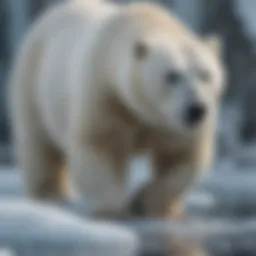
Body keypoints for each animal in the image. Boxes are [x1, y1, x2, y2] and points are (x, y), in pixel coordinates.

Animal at [8, 0, 226, 219]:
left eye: (206, 74)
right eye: (172, 76)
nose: (196, 109)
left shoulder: (170, 125)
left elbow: (181, 157)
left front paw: (143, 202)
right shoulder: (107, 97)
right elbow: (100, 146)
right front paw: (112, 208)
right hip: (33, 87)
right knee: (40, 147)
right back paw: (50, 194)